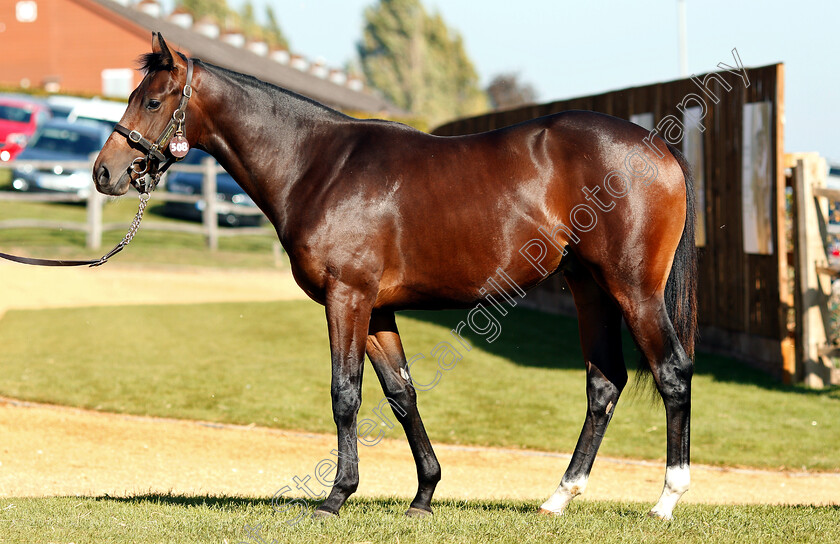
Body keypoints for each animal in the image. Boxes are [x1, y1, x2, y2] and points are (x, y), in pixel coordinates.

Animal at [90, 33, 696, 520]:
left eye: (151, 100)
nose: (104, 172)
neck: (317, 165)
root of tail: (658, 147)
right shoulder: (377, 308)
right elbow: (402, 395)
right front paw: (424, 495)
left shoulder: (347, 298)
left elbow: (345, 393)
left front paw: (336, 496)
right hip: (589, 288)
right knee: (603, 382)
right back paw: (559, 497)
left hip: (633, 288)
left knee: (671, 371)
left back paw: (667, 500)